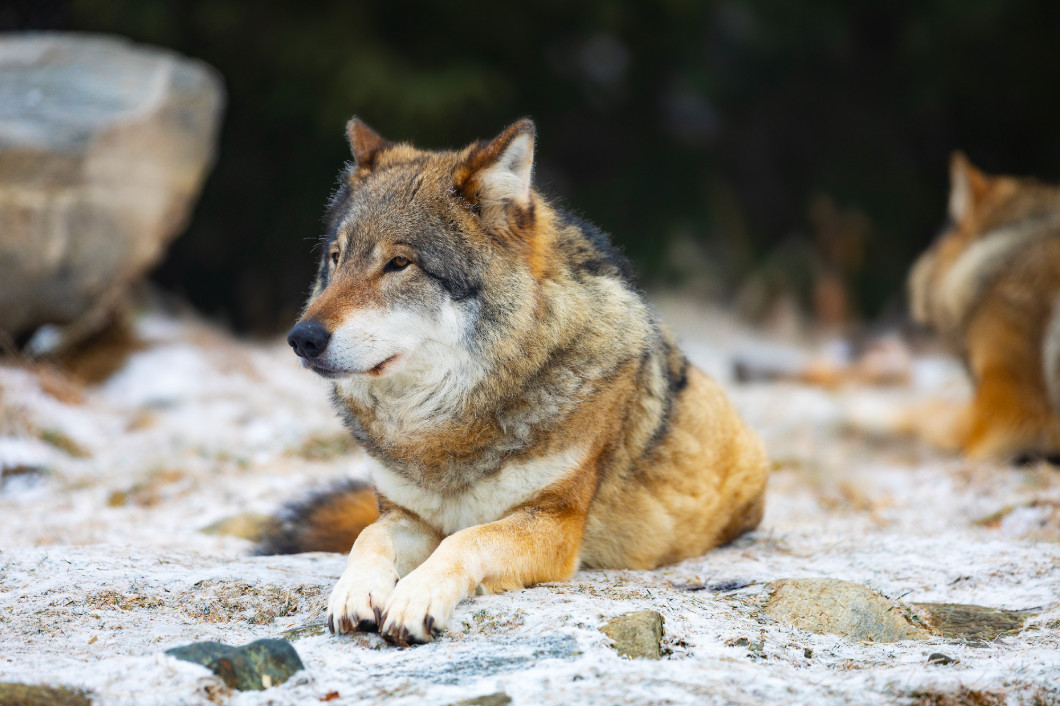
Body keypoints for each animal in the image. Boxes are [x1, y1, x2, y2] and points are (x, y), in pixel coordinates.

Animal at [284, 116, 771, 644]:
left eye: (399, 263)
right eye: (336, 258)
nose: (302, 338)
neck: (445, 424)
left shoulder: (555, 523)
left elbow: (466, 539)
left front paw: (416, 597)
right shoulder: (403, 515)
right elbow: (368, 536)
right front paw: (354, 592)